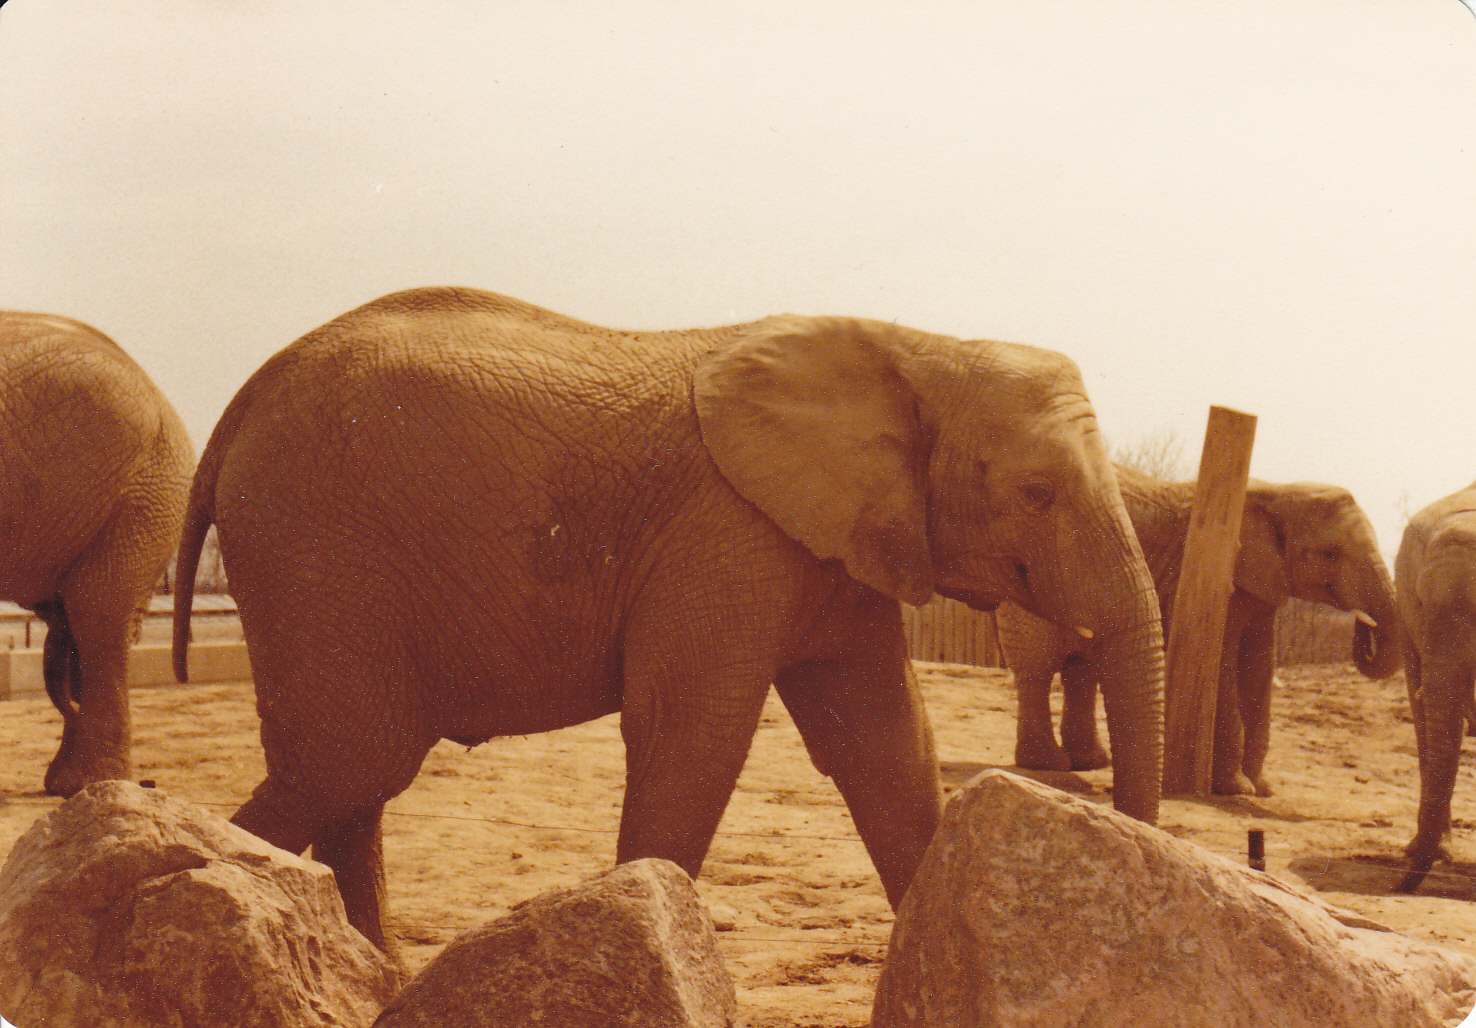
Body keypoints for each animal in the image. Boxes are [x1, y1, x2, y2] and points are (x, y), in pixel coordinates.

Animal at [172, 286, 1165, 954]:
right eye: (1037, 493)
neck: (915, 346)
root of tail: (237, 407)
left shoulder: (832, 542)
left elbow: (885, 740)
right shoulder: (728, 533)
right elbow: (696, 731)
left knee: (352, 774)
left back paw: (373, 970)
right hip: (314, 548)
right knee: (351, 759)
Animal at [997, 463, 1400, 796]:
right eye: (1330, 554)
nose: (1364, 629)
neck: (1276, 491)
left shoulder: (1262, 589)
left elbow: (1258, 671)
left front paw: (1261, 789)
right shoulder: (1217, 579)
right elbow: (1223, 666)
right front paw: (1236, 789)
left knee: (1082, 670)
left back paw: (1092, 762)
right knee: (1038, 667)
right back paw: (1048, 764)